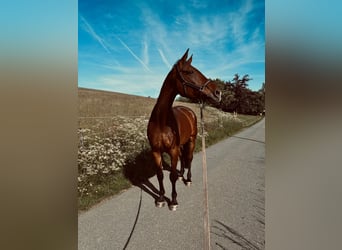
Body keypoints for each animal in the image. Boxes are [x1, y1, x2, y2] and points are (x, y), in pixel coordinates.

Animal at [147, 47, 222, 210]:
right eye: (190, 71)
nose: (218, 93)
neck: (161, 122)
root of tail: (188, 110)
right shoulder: (156, 151)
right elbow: (160, 175)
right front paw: (161, 198)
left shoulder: (173, 150)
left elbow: (172, 176)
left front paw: (173, 201)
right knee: (183, 158)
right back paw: (182, 174)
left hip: (192, 140)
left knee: (189, 158)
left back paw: (187, 179)